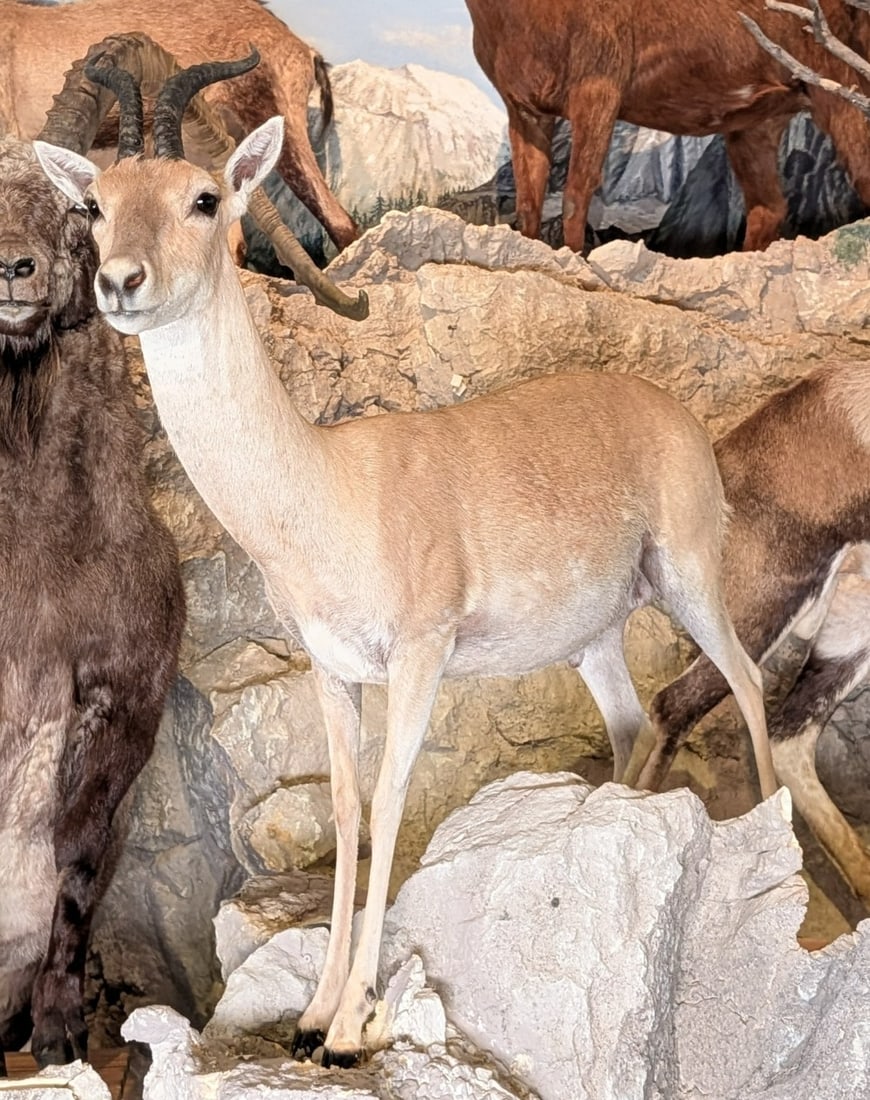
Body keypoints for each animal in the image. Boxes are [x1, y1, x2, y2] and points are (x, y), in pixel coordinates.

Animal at [34, 55, 776, 1066]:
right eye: (96, 203)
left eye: (203, 196)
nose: (120, 282)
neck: (325, 492)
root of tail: (677, 417)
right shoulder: (333, 673)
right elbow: (346, 811)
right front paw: (311, 1016)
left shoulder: (420, 658)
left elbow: (389, 802)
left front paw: (351, 1024)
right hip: (593, 640)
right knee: (634, 726)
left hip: (692, 579)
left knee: (749, 681)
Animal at [465, 0, 870, 252]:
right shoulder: (525, 111)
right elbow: (529, 202)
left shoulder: (598, 88)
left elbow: (576, 193)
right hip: (756, 125)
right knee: (768, 206)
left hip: (839, 91)